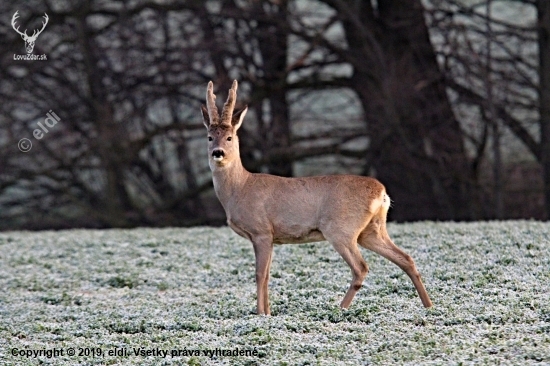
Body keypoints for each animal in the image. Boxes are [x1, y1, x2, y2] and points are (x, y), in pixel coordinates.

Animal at [203, 81, 436, 314]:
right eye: (209, 137)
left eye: (229, 137)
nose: (218, 152)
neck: (240, 189)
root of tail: (381, 192)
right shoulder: (270, 237)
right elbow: (267, 275)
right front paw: (268, 312)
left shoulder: (262, 231)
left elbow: (260, 275)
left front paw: (261, 314)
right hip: (371, 230)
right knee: (405, 258)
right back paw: (429, 306)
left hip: (340, 228)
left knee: (361, 267)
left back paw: (339, 308)